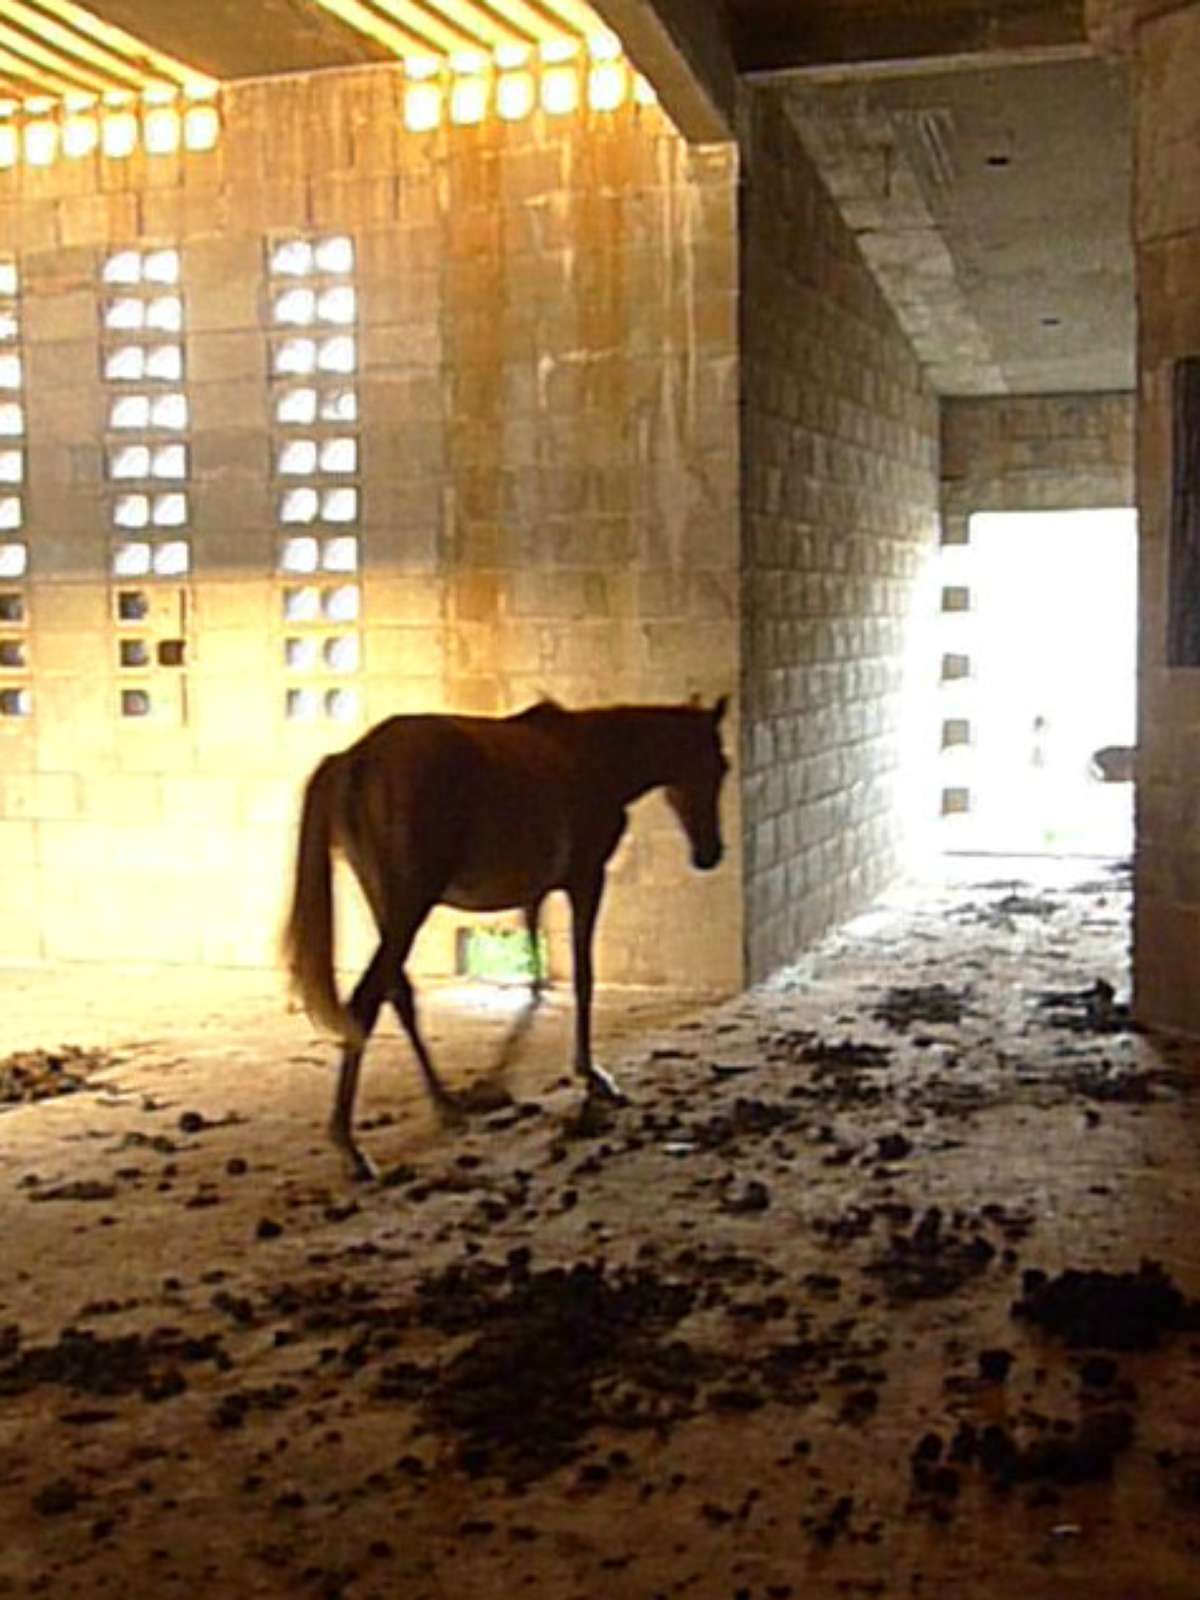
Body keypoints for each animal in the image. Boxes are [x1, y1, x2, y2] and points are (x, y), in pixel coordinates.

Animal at [284, 697, 729, 1177]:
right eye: (714, 764)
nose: (710, 853)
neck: (594, 754)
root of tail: (355, 758)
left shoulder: (536, 889)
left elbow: (534, 945)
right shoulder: (587, 880)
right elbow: (584, 978)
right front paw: (592, 1074)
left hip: (387, 906)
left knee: (397, 994)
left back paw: (444, 1102)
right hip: (409, 907)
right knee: (365, 1001)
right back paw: (351, 1145)